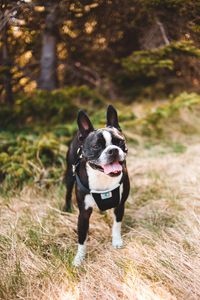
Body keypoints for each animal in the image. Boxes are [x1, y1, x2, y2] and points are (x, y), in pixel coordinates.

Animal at [64, 104, 130, 266]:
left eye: (120, 142)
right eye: (96, 146)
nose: (113, 150)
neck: (102, 176)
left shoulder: (120, 205)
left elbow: (116, 225)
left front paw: (116, 241)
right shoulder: (84, 213)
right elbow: (82, 239)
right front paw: (79, 258)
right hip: (69, 174)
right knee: (67, 193)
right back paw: (66, 208)